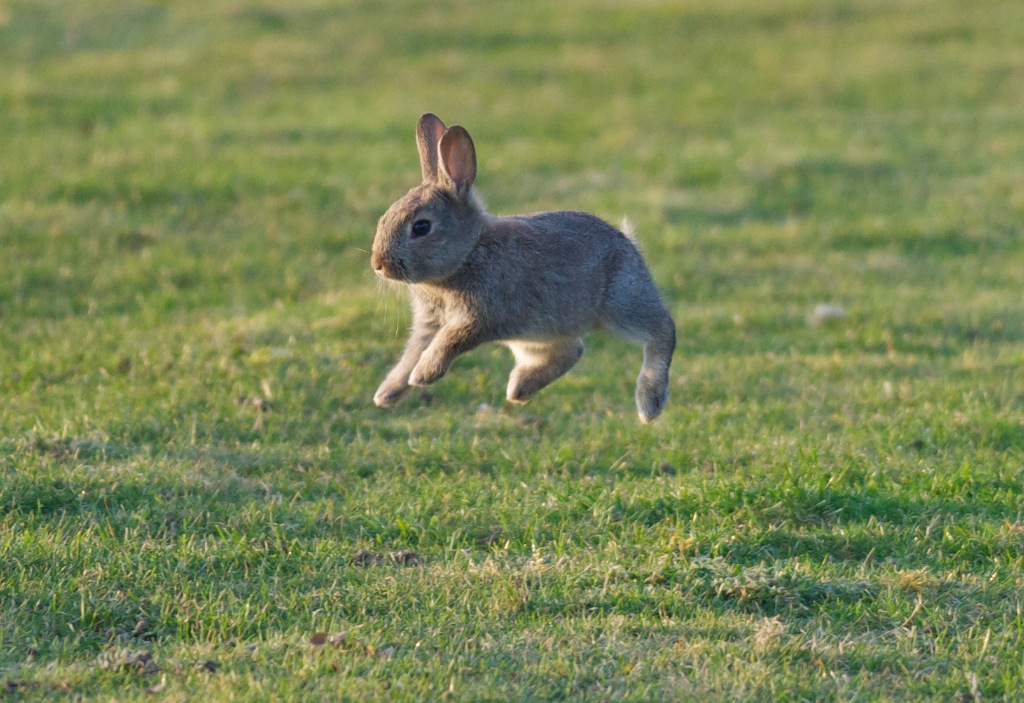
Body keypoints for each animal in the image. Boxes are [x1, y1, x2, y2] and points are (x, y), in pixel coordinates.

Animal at [372, 114, 675, 423]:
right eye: (385, 217)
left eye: (421, 227)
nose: (378, 264)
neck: (468, 252)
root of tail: (628, 242)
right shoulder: (429, 323)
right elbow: (412, 352)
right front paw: (387, 393)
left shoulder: (479, 317)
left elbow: (448, 343)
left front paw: (422, 375)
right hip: (533, 334)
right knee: (571, 350)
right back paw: (521, 388)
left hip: (621, 302)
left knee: (662, 330)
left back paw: (649, 404)